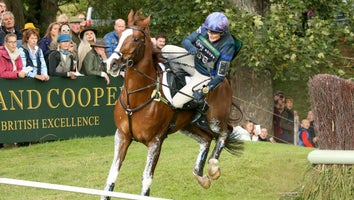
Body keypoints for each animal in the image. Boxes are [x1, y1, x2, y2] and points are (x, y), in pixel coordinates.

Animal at [101, 8, 242, 199]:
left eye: (136, 39)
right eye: (120, 34)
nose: (111, 64)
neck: (138, 96)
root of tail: (224, 81)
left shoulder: (155, 142)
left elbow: (146, 179)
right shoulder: (122, 137)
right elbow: (112, 175)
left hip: (215, 120)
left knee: (225, 132)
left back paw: (213, 168)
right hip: (187, 125)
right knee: (206, 139)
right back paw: (201, 176)